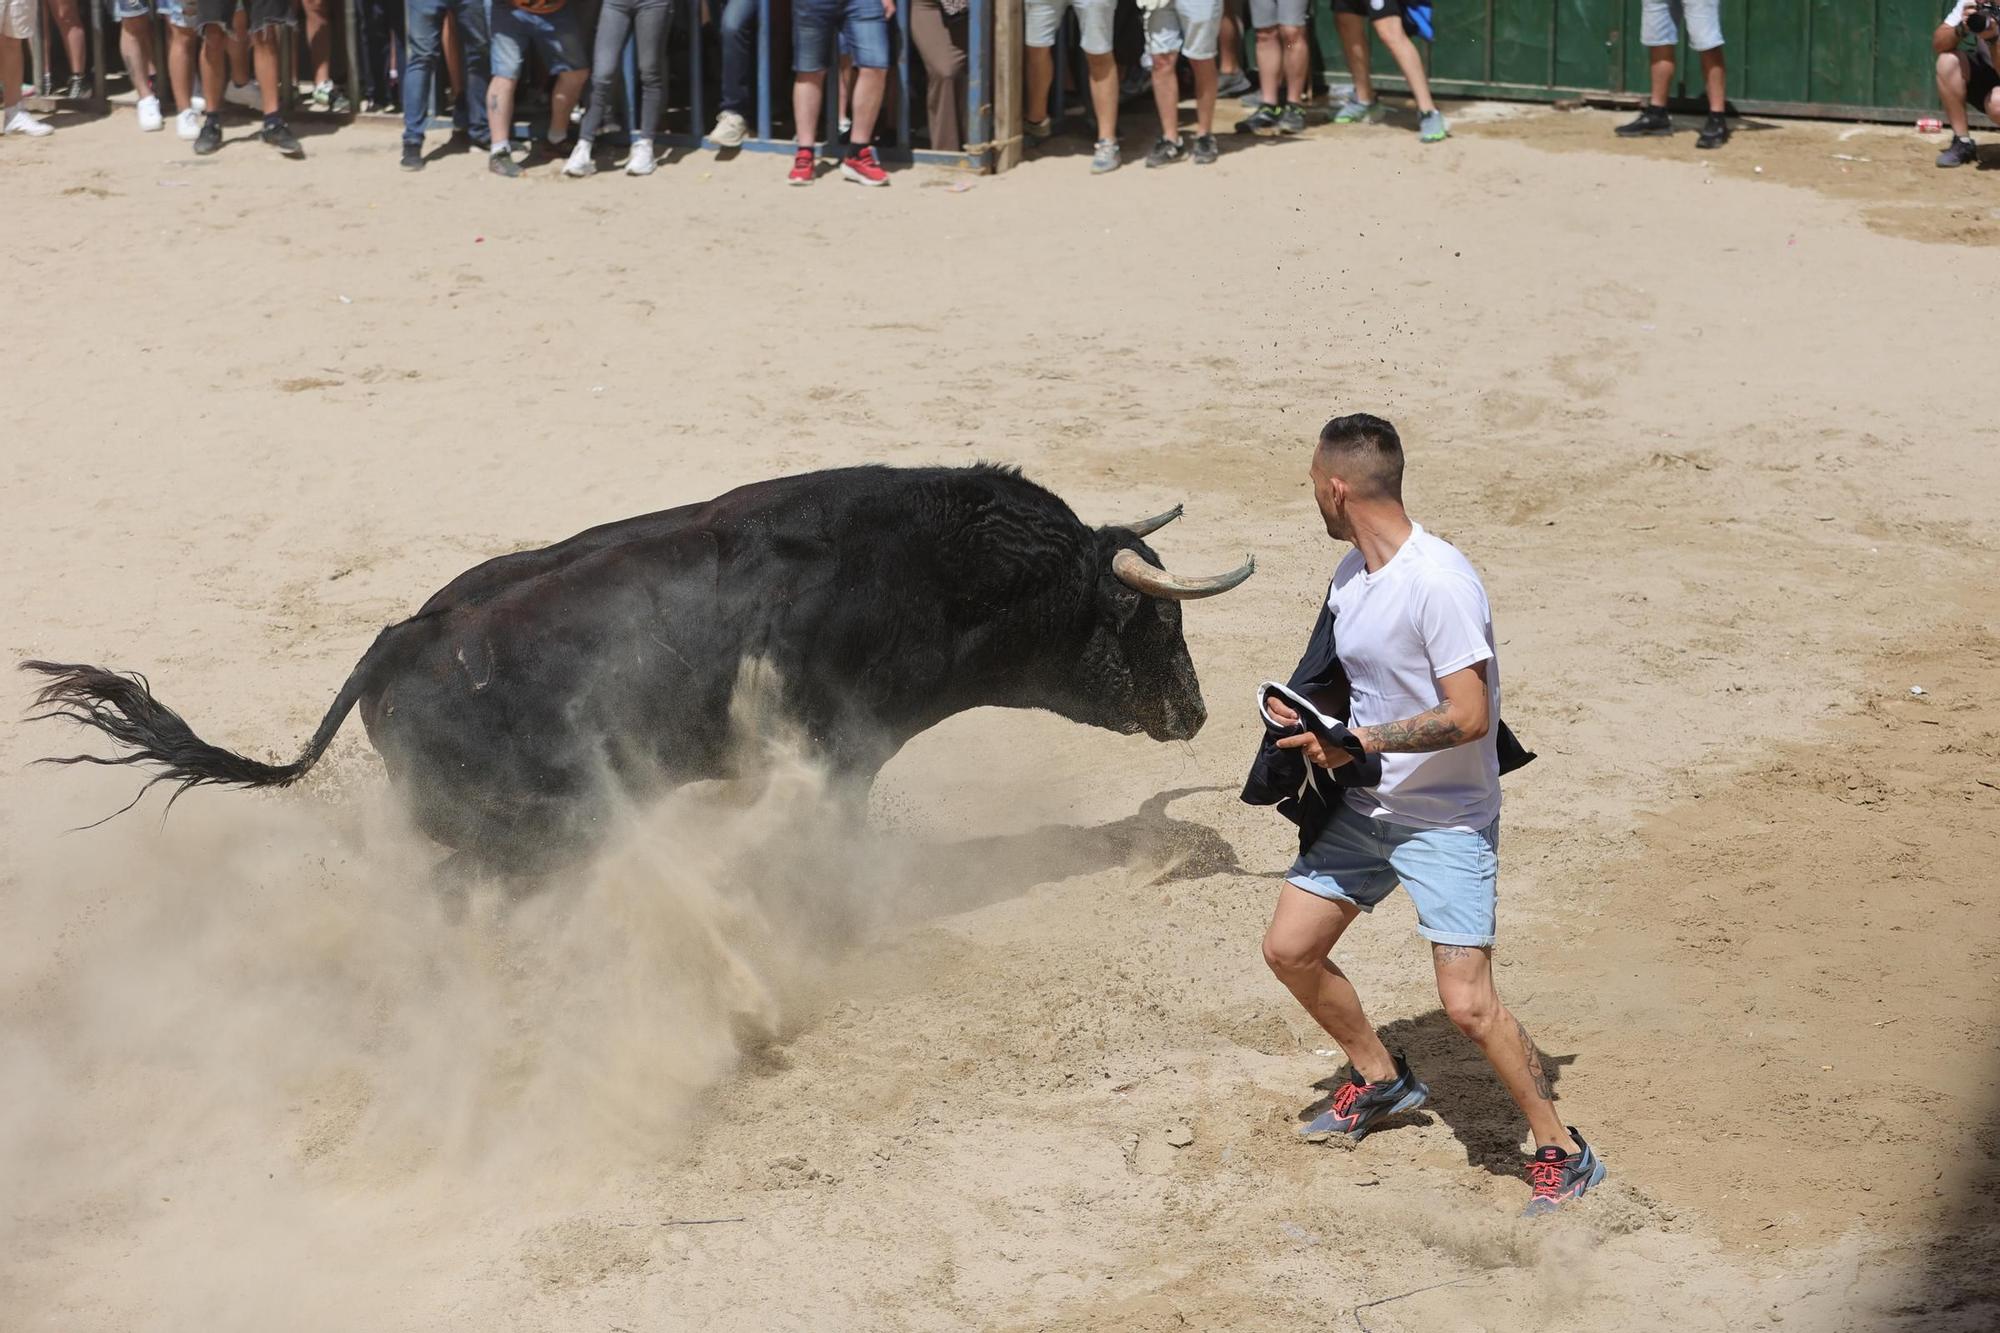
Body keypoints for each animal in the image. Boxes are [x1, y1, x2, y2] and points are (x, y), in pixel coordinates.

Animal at [19, 466, 1248, 872]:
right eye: (1151, 625)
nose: (1196, 712)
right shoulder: (834, 753)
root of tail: (394, 643)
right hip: (518, 833)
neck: (929, 567)